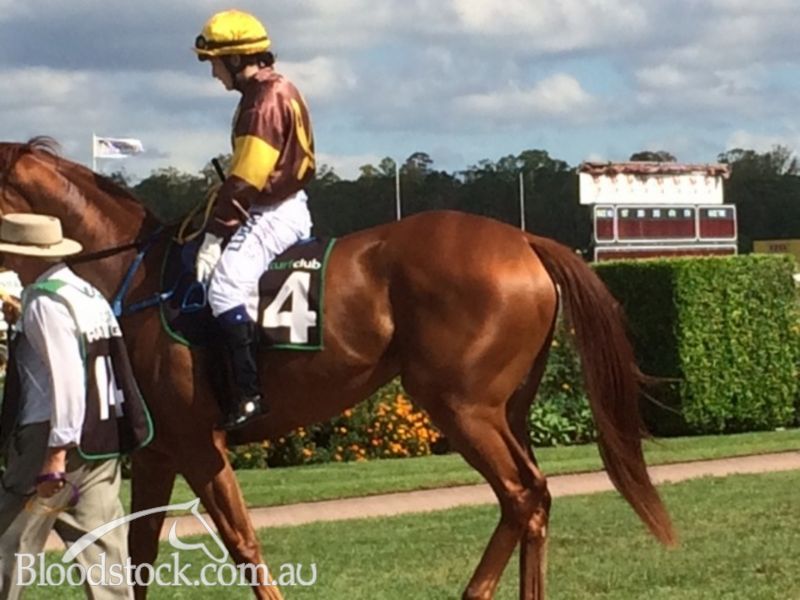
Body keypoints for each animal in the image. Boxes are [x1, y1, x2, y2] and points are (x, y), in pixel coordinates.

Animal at [0, 138, 674, 600]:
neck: (136, 280)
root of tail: (525, 241)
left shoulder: (198, 442)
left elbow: (242, 541)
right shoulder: (158, 452)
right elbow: (135, 555)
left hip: (461, 407)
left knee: (523, 494)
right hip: (507, 408)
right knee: (533, 498)